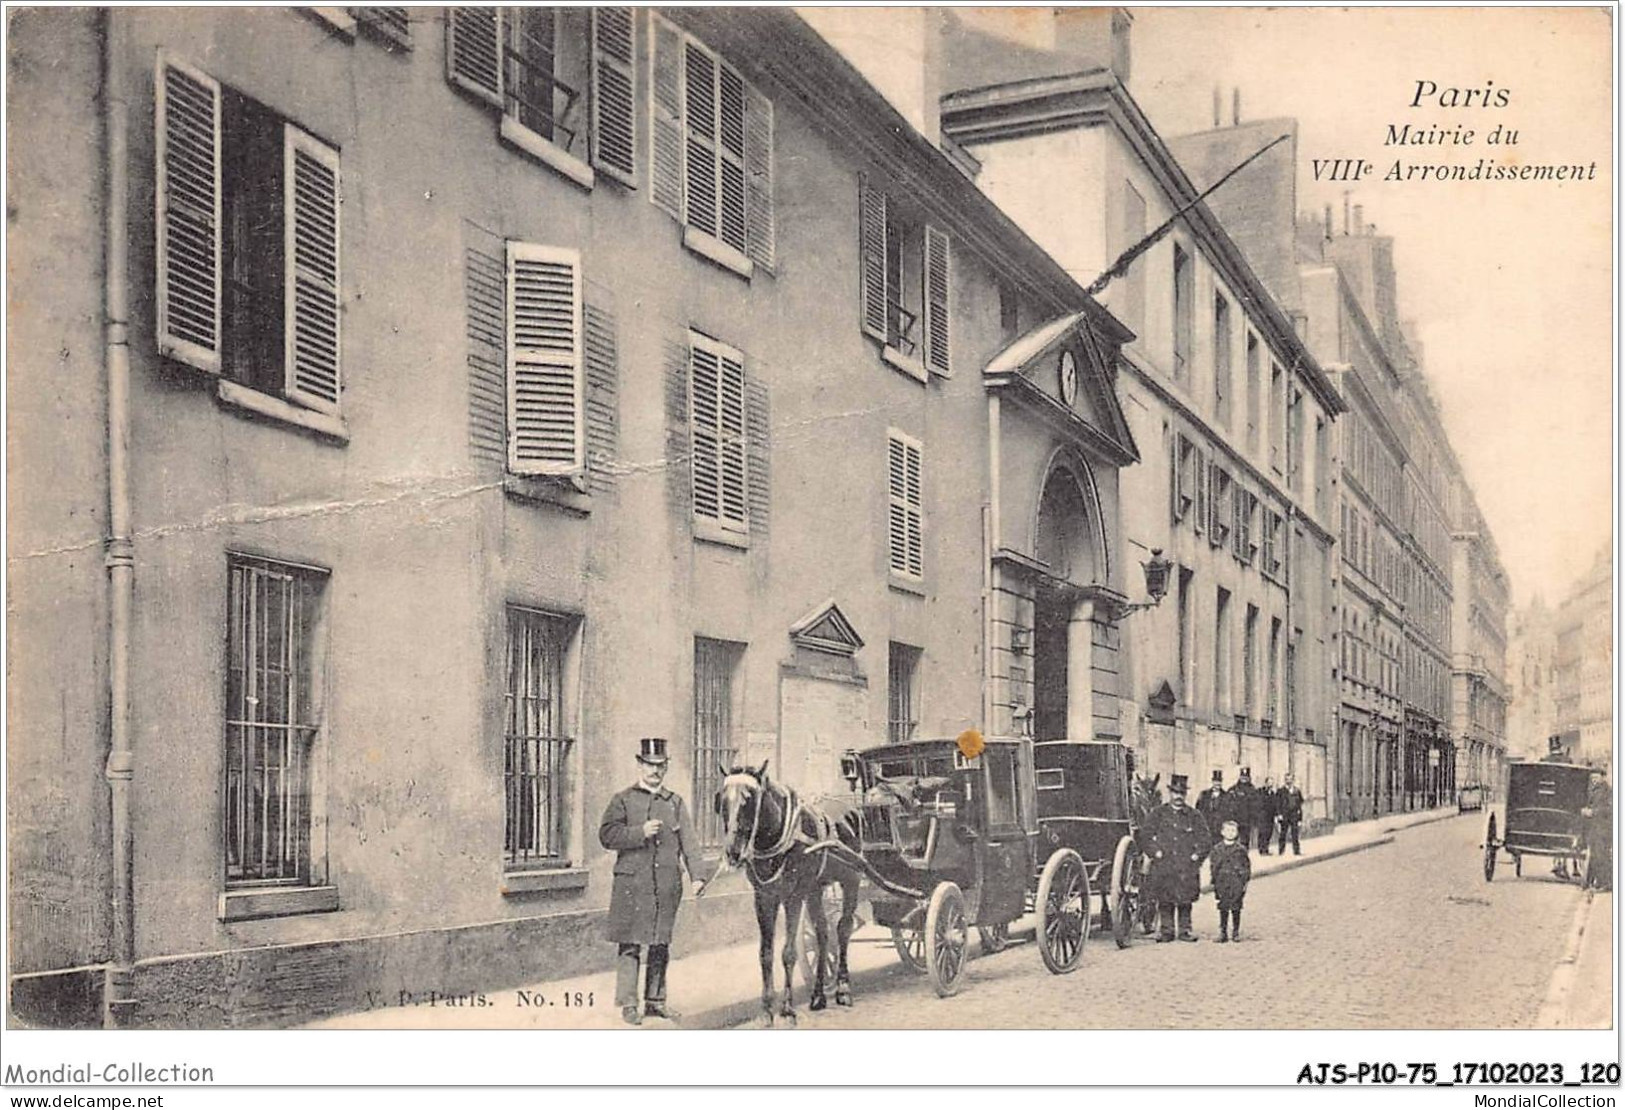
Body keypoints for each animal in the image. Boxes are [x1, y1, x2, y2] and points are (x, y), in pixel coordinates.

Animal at [715, 763, 864, 1027]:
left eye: (749, 799)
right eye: (723, 800)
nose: (733, 852)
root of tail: (849, 808)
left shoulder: (793, 896)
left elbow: (788, 953)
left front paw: (787, 1009)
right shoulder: (764, 899)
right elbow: (765, 954)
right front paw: (766, 1010)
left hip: (851, 880)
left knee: (843, 929)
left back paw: (843, 989)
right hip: (815, 888)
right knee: (823, 933)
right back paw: (818, 996)